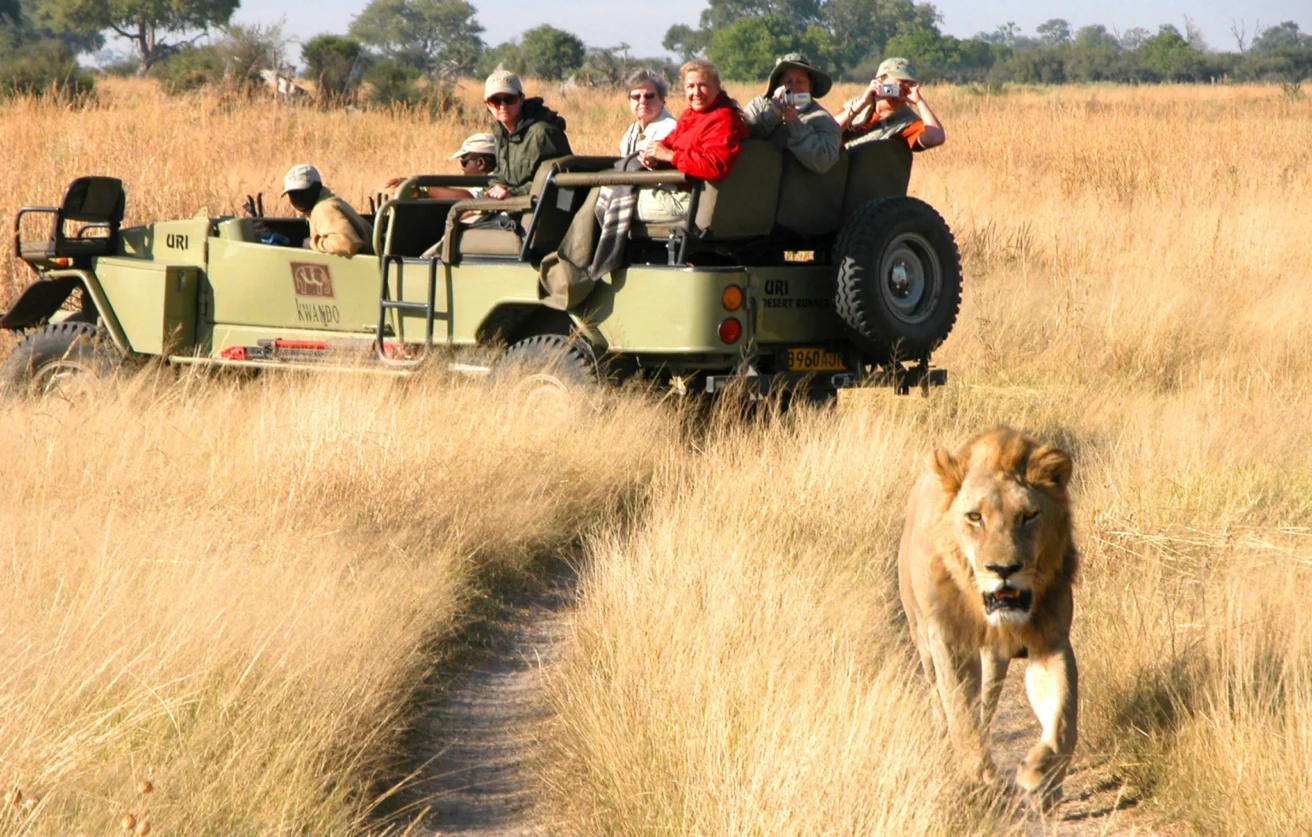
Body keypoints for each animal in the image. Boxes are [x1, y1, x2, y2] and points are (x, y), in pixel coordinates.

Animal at [902, 430, 1075, 808]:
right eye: (974, 517)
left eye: (1029, 515)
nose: (1003, 569)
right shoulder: (949, 640)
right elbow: (960, 714)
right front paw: (979, 776)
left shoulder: (1051, 640)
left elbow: (1063, 716)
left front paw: (1038, 775)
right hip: (921, 638)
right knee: (942, 697)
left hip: (993, 657)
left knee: (987, 701)